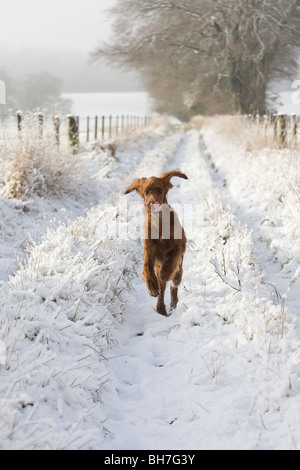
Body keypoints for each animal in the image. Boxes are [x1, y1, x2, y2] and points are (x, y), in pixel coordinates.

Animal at [124, 169, 188, 316]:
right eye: (146, 191)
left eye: (160, 190)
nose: (153, 203)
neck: (159, 223)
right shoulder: (149, 251)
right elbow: (147, 267)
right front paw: (152, 287)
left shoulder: (180, 246)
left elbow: (171, 261)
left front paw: (165, 273)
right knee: (162, 288)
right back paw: (161, 308)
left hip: (179, 272)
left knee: (173, 285)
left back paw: (172, 304)